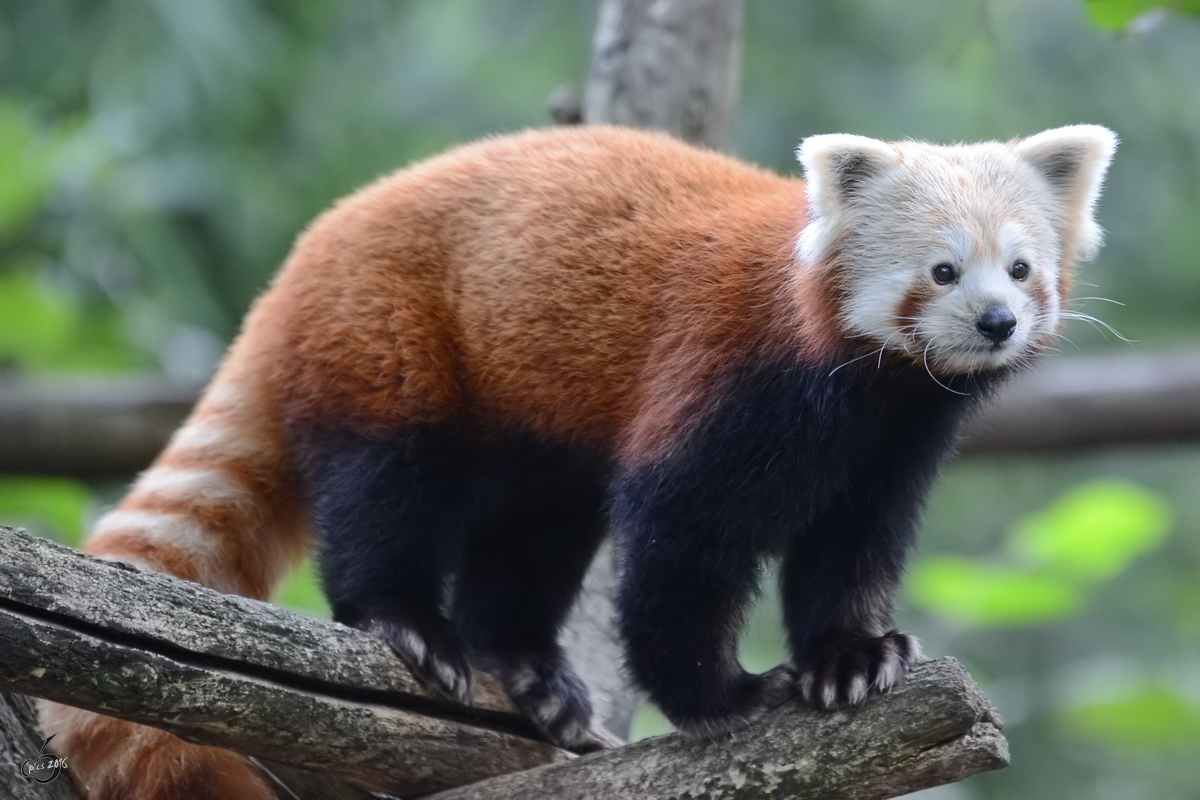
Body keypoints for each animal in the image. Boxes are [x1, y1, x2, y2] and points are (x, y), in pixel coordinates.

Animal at [44, 122, 1113, 796]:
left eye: (1021, 267)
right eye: (943, 269)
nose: (997, 320)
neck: (866, 391)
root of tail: (300, 262)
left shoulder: (891, 446)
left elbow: (850, 551)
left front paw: (850, 662)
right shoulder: (727, 381)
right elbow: (682, 543)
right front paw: (724, 696)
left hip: (536, 428)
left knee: (534, 535)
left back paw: (529, 672)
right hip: (392, 339)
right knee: (386, 489)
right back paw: (406, 622)